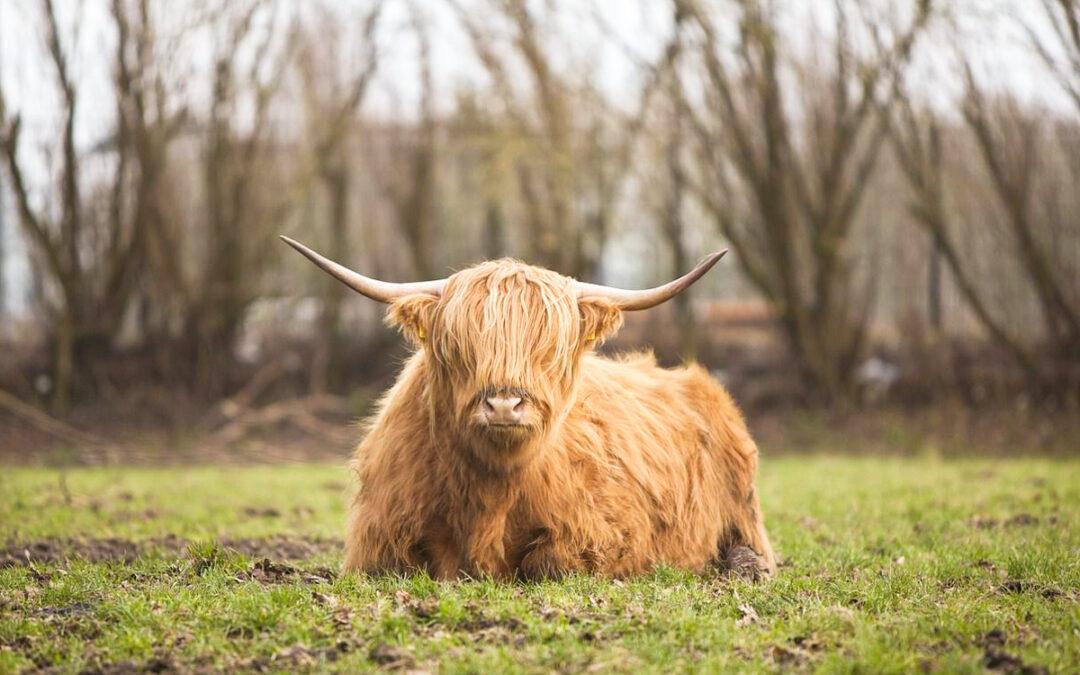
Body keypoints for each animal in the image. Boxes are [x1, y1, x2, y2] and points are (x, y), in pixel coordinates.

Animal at [285, 236, 777, 578]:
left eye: (550, 349)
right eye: (458, 346)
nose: (504, 404)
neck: (491, 490)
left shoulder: (610, 537)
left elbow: (547, 564)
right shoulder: (379, 542)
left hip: (746, 512)